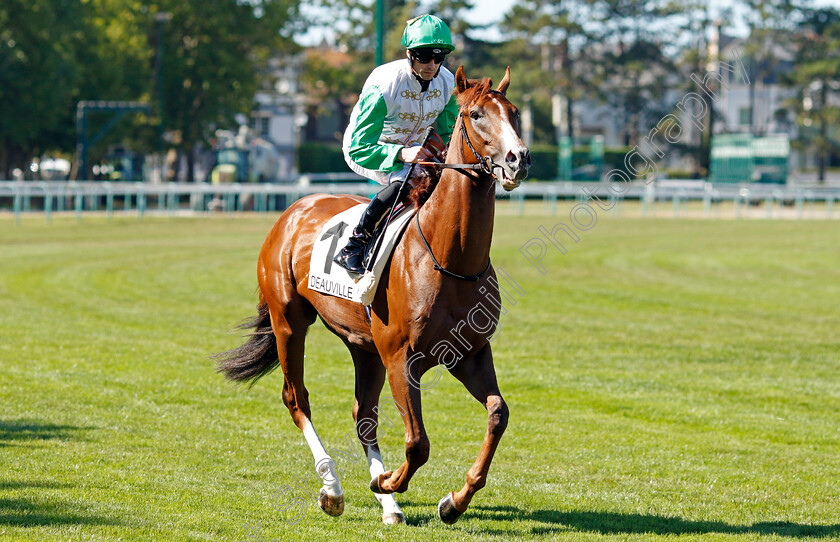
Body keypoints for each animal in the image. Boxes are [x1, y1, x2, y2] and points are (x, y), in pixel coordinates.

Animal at [220, 65, 528, 528]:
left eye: (514, 112)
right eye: (475, 114)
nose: (517, 158)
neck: (448, 257)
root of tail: (293, 210)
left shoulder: (469, 353)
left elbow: (498, 413)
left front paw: (453, 501)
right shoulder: (402, 356)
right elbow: (418, 442)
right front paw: (387, 482)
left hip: (363, 347)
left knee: (364, 415)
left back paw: (389, 507)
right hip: (289, 320)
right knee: (297, 398)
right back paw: (333, 489)